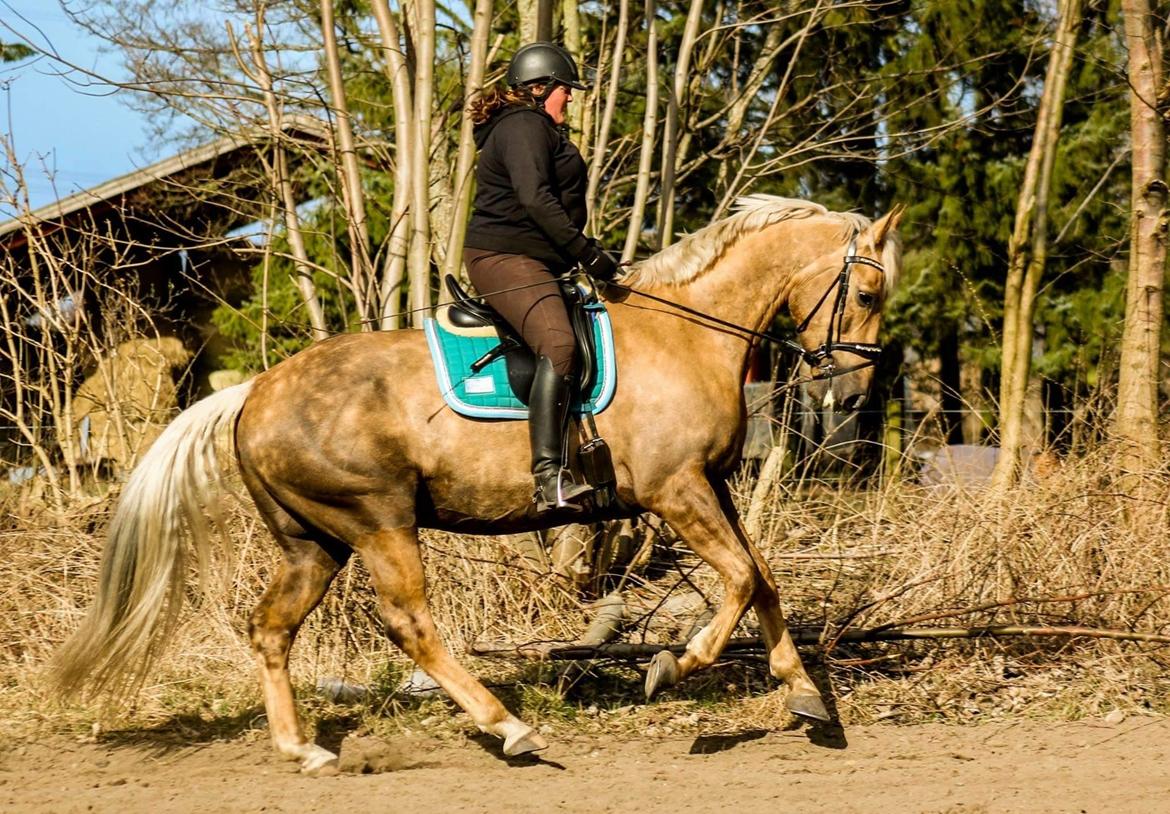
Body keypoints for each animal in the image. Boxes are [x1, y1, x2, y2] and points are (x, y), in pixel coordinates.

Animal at [52, 194, 903, 771]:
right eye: (866, 293)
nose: (852, 395)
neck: (686, 331)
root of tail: (251, 393)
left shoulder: (712, 488)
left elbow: (762, 579)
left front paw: (803, 693)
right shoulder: (676, 491)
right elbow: (737, 580)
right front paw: (675, 665)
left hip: (314, 542)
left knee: (271, 628)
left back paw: (303, 750)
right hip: (379, 522)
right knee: (411, 625)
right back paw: (508, 727)